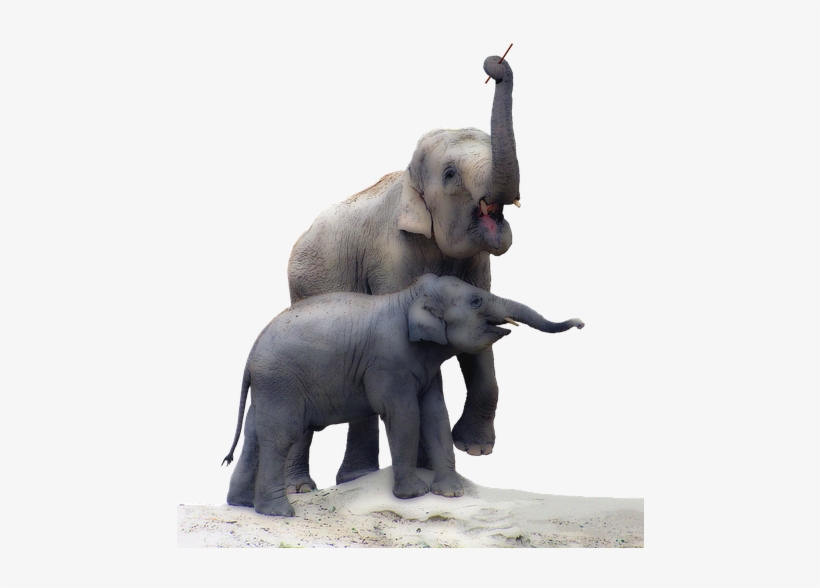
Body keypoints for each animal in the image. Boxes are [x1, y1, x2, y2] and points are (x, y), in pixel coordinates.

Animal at [222, 274, 584, 516]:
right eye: (476, 301)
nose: (581, 323)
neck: (407, 296)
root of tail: (249, 357)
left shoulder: (425, 362)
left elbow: (436, 413)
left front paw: (451, 495)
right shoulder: (388, 362)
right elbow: (404, 414)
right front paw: (413, 496)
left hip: (267, 388)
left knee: (255, 435)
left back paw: (241, 504)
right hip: (281, 382)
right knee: (281, 436)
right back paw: (280, 513)